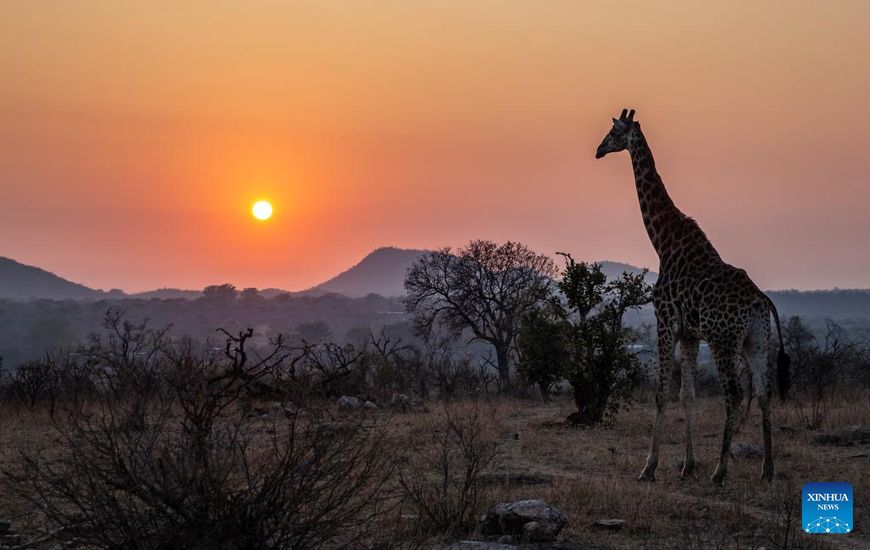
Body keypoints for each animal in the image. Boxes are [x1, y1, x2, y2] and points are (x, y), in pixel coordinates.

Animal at [600, 109, 792, 488]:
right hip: (757, 340)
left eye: (613, 132)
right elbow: (686, 395)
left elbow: (661, 393)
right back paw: (767, 468)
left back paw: (720, 471)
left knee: (734, 392)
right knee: (764, 393)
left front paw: (649, 467)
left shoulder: (664, 322)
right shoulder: (690, 334)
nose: (599, 150)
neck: (662, 241)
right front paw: (688, 465)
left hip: (723, 339)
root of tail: (761, 302)